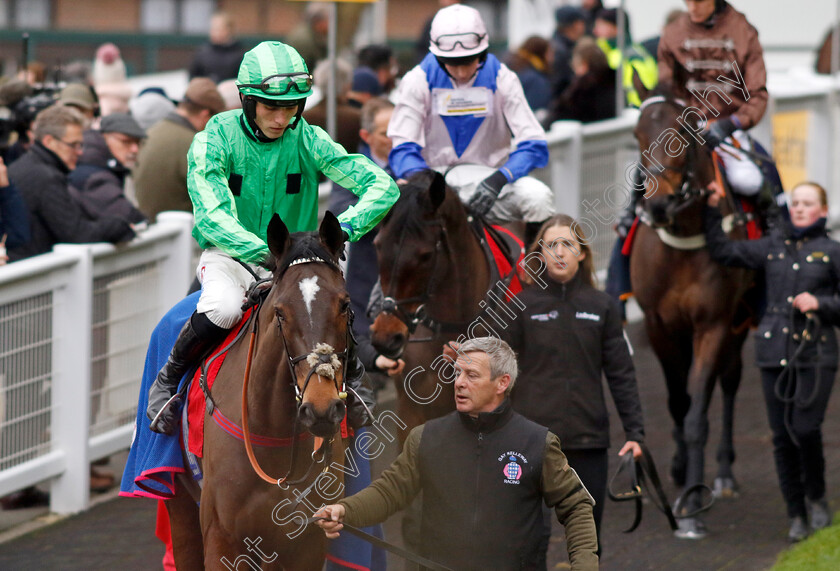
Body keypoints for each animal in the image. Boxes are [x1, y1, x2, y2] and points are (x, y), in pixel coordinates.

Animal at [164, 212, 352, 568]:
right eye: (280, 311)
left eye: (345, 305)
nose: (321, 408)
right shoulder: (222, 538)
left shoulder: (308, 540)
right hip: (179, 505)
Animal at [632, 86, 756, 540]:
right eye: (635, 134)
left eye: (685, 134)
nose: (659, 205)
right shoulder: (658, 326)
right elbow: (677, 402)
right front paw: (679, 468)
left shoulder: (714, 325)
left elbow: (697, 414)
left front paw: (692, 507)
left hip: (739, 323)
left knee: (730, 380)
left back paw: (723, 474)